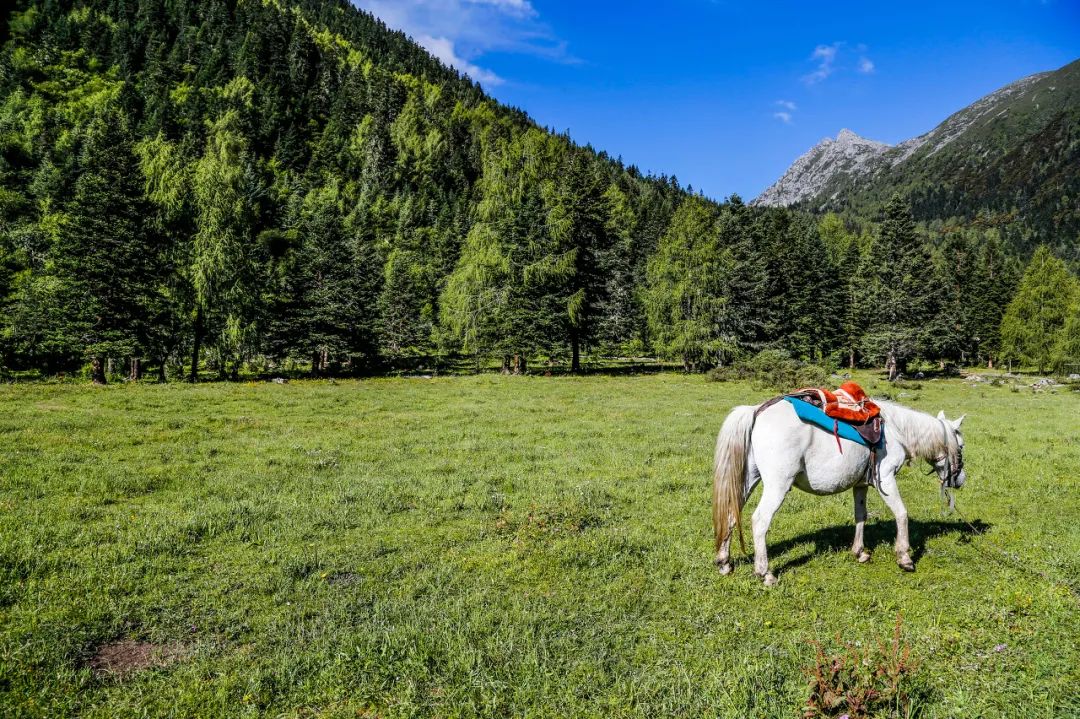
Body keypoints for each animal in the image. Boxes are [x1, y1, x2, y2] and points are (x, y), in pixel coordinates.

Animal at [712, 397, 967, 582]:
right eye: (962, 446)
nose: (960, 480)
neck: (896, 431)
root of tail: (756, 411)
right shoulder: (886, 479)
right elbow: (901, 514)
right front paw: (904, 557)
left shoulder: (861, 485)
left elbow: (861, 516)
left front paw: (860, 552)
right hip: (777, 485)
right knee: (760, 521)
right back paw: (765, 573)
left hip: (748, 480)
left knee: (731, 515)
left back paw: (725, 562)